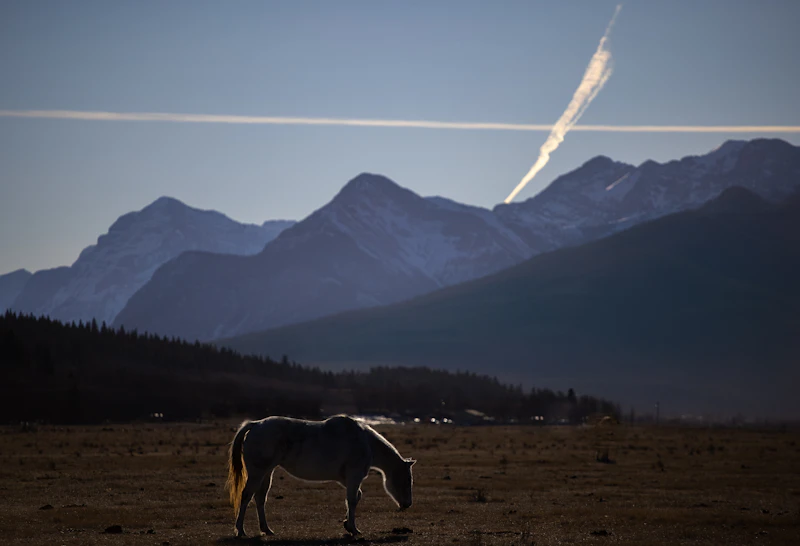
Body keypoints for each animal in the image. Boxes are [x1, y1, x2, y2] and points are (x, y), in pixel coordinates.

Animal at [226, 415, 416, 537]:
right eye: (407, 480)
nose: (407, 504)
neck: (365, 443)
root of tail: (256, 424)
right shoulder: (354, 477)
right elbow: (353, 500)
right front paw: (353, 529)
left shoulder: (347, 480)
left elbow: (355, 497)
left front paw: (347, 524)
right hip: (257, 472)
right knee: (246, 496)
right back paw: (240, 531)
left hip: (267, 473)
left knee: (260, 498)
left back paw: (266, 529)